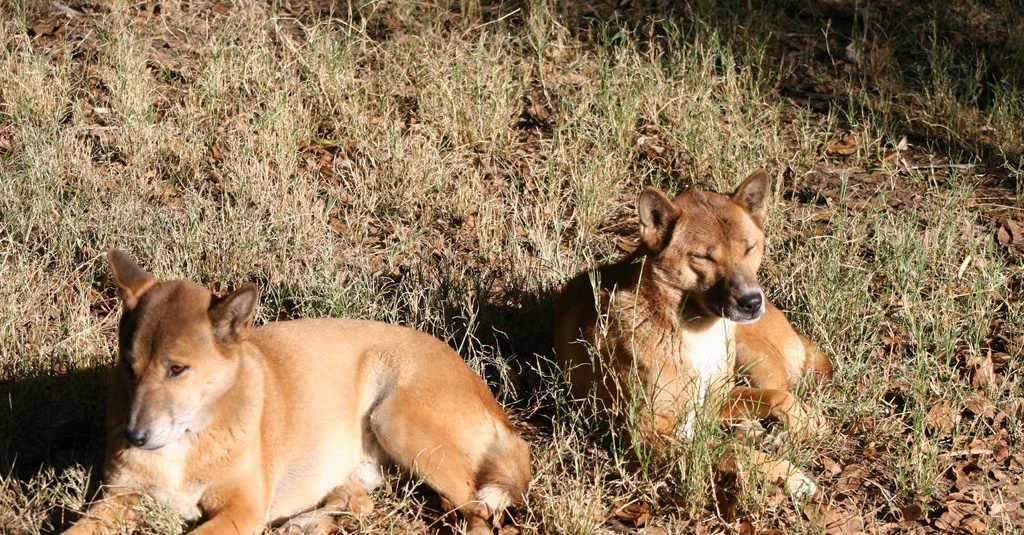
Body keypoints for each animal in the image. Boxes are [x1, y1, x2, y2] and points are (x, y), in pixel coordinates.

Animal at [65, 250, 532, 532]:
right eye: (129, 366)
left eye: (177, 369)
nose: (134, 437)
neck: (190, 436)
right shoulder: (117, 498)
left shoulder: (241, 509)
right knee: (360, 502)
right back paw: (305, 524)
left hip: (398, 423)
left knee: (479, 512)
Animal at [557, 169, 835, 494]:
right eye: (704, 257)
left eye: (749, 248)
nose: (753, 302)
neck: (691, 331)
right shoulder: (646, 437)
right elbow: (732, 451)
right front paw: (787, 473)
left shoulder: (717, 398)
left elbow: (779, 399)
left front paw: (809, 424)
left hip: (751, 356)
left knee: (780, 390)